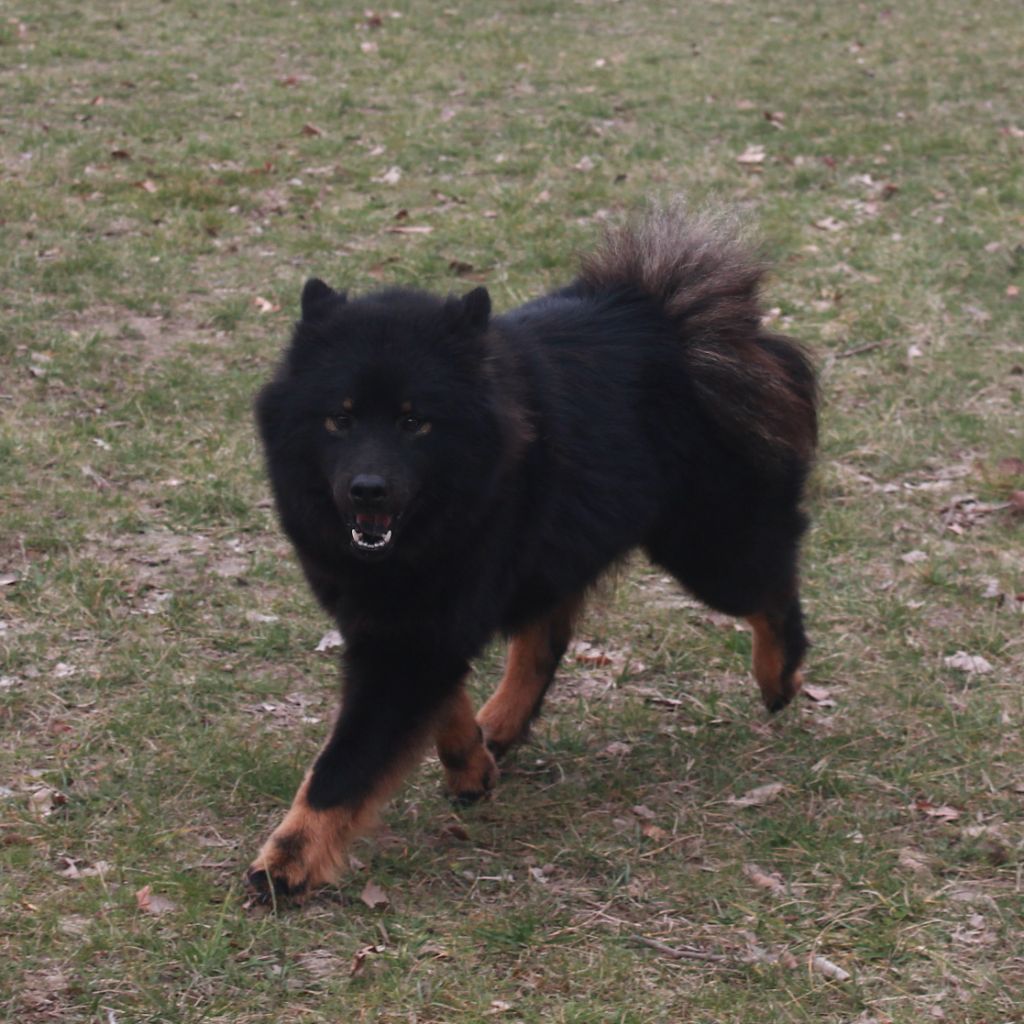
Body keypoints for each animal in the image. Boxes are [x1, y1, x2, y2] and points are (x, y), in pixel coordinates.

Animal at [247, 205, 815, 897]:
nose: (368, 489)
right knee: (547, 639)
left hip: (705, 548)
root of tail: (671, 316)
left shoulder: (414, 633)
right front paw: (470, 762)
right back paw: (503, 723)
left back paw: (779, 675)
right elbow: (441, 700)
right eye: (340, 419)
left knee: (773, 584)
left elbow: (344, 765)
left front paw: (287, 860)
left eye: (414, 422)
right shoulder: (400, 619)